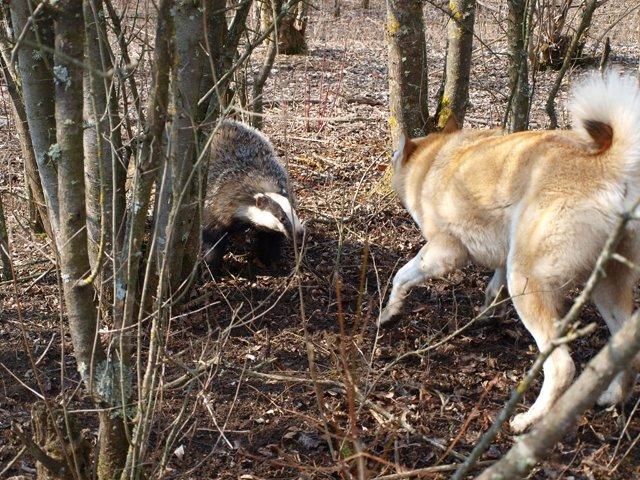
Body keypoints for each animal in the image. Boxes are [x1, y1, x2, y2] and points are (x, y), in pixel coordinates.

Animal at [380, 69, 640, 434]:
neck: (432, 160)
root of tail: (609, 164)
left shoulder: (443, 252)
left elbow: (401, 278)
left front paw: (388, 313)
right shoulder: (502, 256)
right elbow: (492, 288)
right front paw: (486, 315)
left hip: (527, 281)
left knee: (561, 366)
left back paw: (530, 420)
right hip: (606, 285)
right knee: (626, 352)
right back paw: (612, 397)